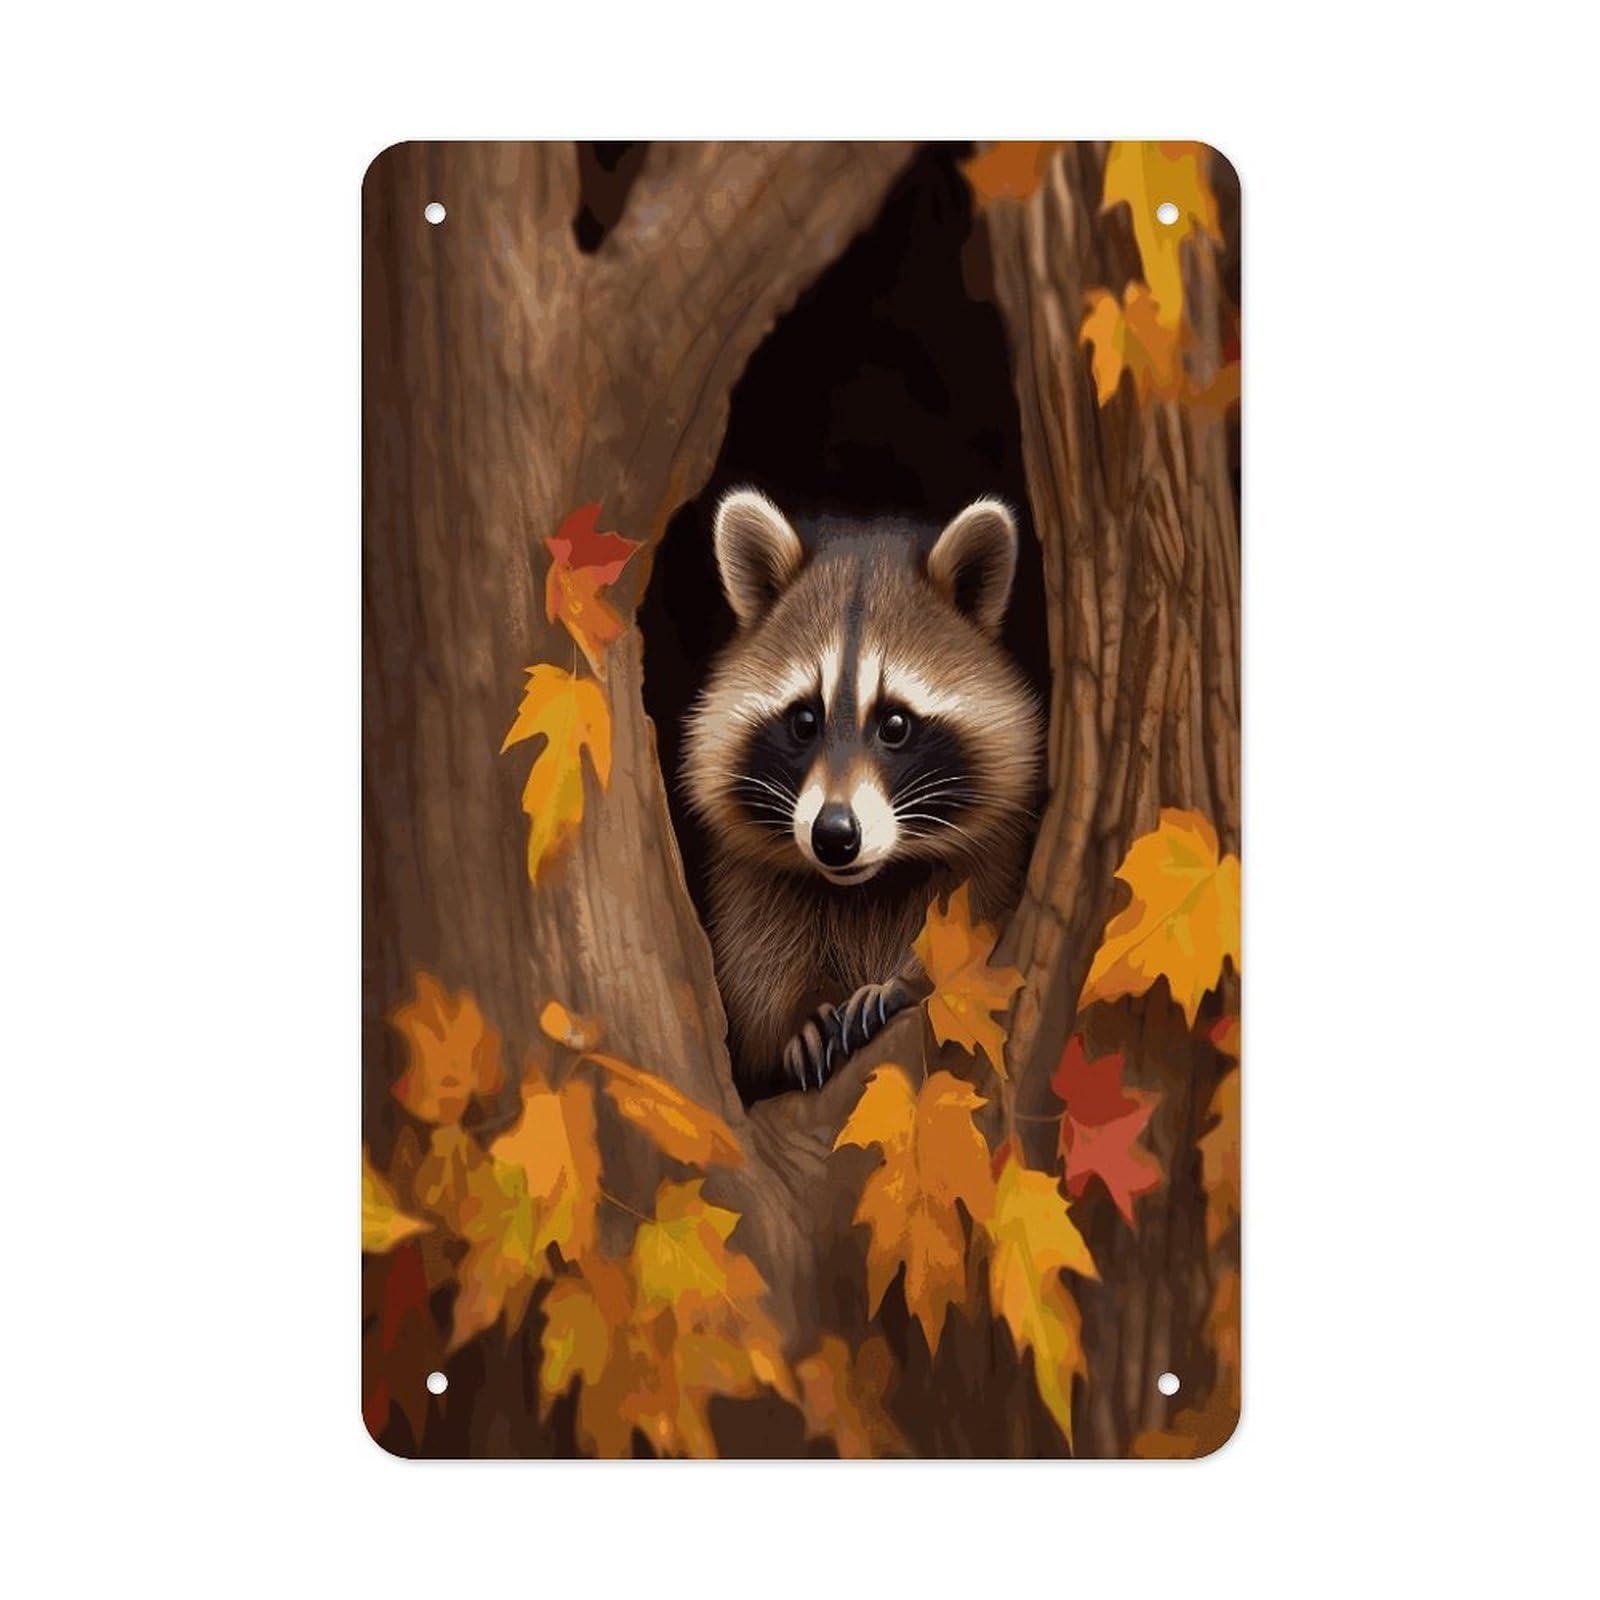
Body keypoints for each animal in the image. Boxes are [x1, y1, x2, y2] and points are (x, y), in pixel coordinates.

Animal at [682, 488, 1042, 1102]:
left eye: (895, 724)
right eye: (804, 720)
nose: (833, 835)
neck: (866, 885)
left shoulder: (995, 855)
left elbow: (975, 922)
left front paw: (909, 982)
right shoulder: (749, 878)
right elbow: (755, 965)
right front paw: (794, 1015)